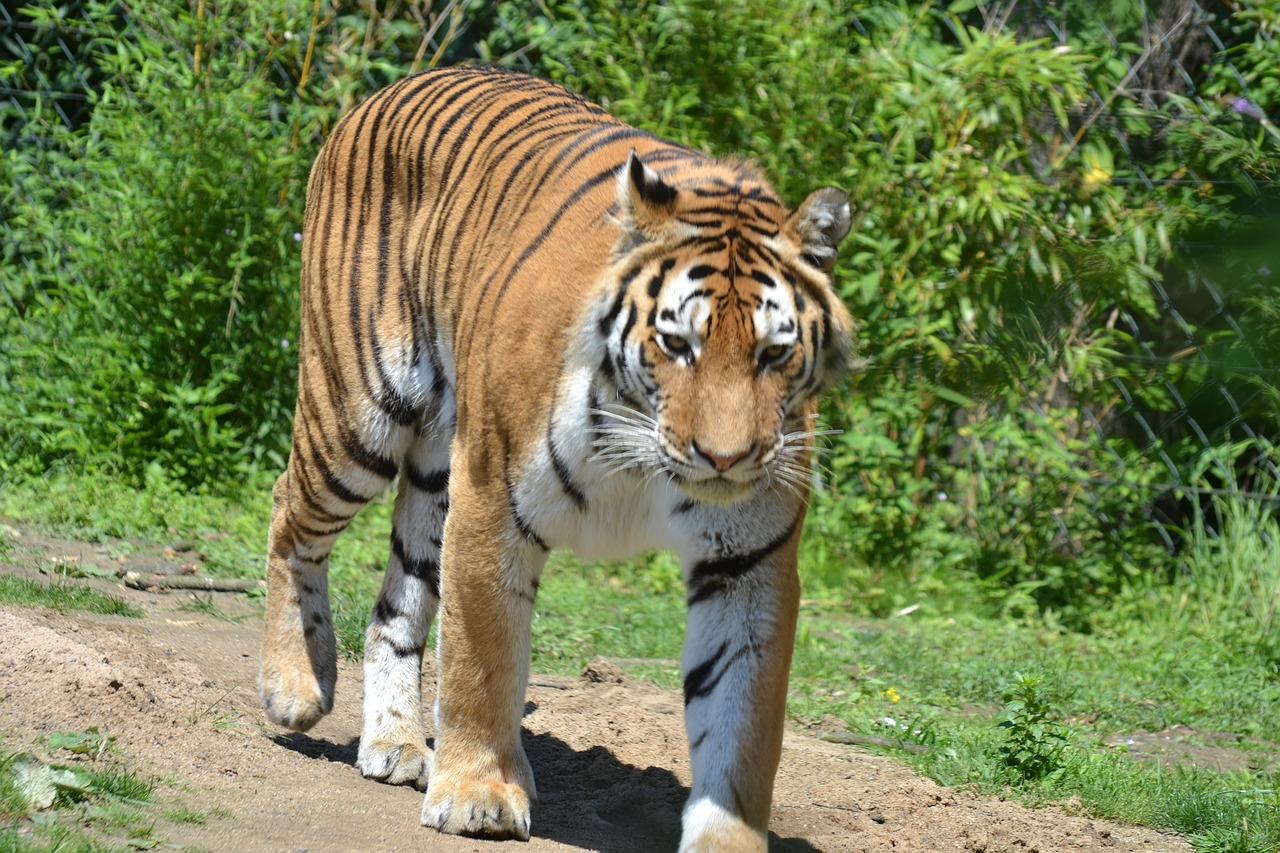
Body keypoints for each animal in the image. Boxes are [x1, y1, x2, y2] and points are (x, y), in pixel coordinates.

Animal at [254, 68, 855, 850]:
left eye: (774, 353)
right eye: (678, 344)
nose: (725, 459)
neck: (641, 454)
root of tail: (391, 87)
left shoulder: (748, 564)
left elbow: (742, 726)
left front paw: (727, 838)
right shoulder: (490, 499)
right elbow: (483, 661)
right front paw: (478, 796)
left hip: (435, 469)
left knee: (395, 607)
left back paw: (397, 744)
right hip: (359, 411)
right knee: (287, 511)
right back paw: (295, 686)